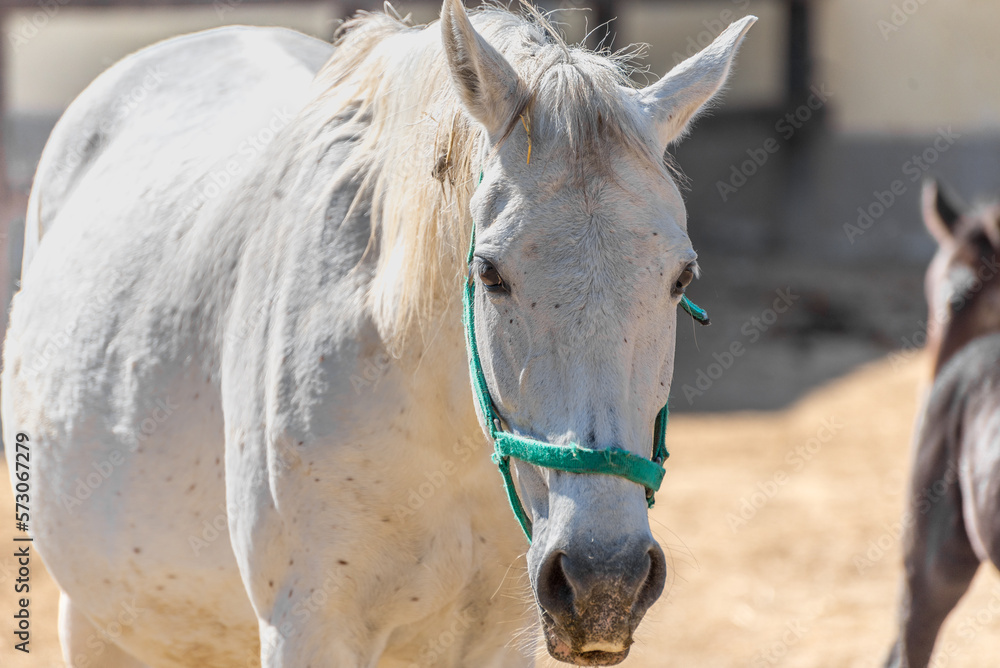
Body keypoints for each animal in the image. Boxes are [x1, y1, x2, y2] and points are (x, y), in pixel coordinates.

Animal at [2, 2, 755, 665]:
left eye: (681, 278)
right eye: (489, 272)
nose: (605, 580)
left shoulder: (498, 642)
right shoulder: (308, 633)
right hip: (98, 623)